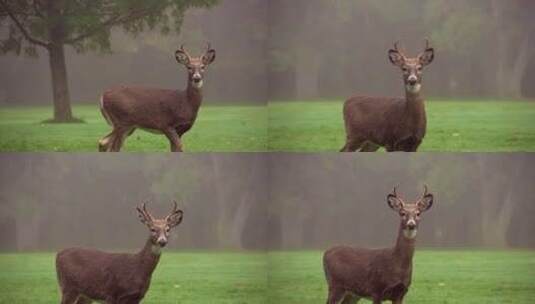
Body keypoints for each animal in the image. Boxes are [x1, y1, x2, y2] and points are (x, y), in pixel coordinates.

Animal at [55, 201, 183, 302]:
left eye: (168, 229)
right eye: (152, 229)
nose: (162, 241)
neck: (138, 268)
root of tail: (58, 254)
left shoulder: (136, 297)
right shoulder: (112, 294)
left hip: (84, 295)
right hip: (68, 287)